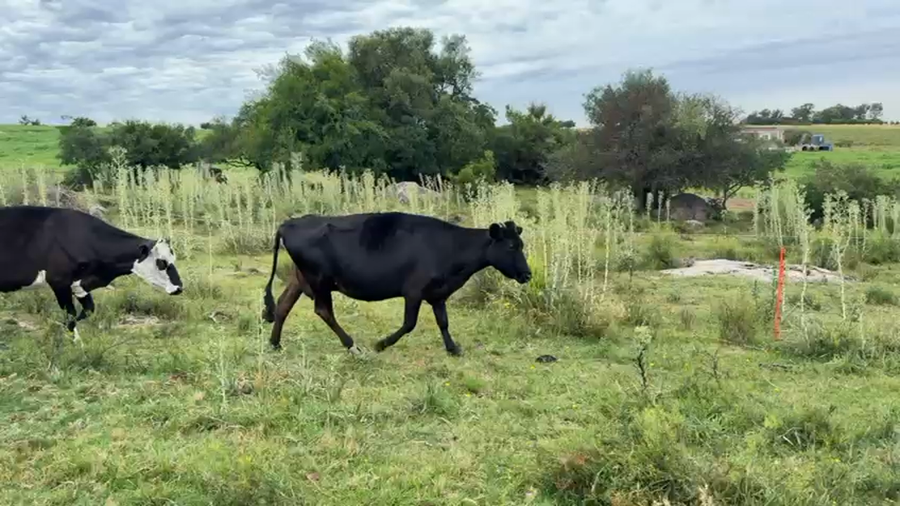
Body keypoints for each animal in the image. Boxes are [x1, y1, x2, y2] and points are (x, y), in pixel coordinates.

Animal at [0, 205, 184, 344]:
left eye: (173, 258)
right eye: (162, 262)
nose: (179, 287)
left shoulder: (79, 285)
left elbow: (88, 310)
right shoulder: (59, 281)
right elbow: (70, 315)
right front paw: (73, 342)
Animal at [261, 211, 532, 357]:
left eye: (521, 244)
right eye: (511, 246)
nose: (528, 274)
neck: (450, 247)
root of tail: (289, 223)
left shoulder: (438, 294)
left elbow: (443, 322)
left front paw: (453, 348)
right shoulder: (413, 291)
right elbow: (409, 324)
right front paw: (381, 344)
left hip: (300, 278)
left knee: (283, 306)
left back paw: (275, 343)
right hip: (319, 281)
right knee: (323, 310)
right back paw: (352, 345)